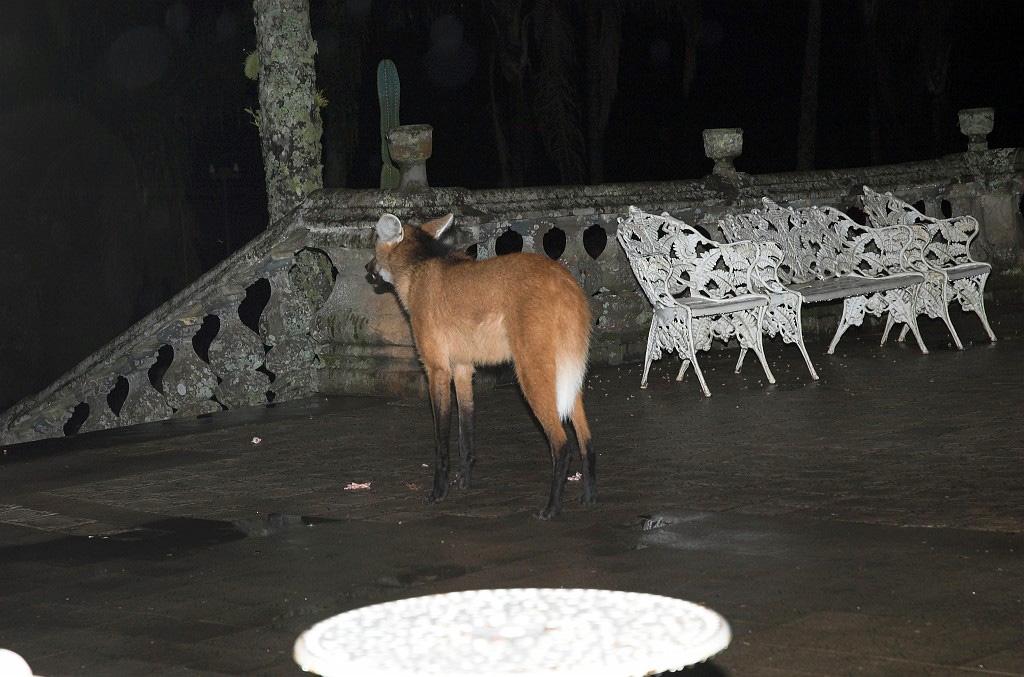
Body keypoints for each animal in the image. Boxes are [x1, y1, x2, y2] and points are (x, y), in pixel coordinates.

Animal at [366, 210, 593, 518]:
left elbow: (441, 439)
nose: (367, 267)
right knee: (587, 440)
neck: (417, 271)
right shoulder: (462, 367)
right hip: (568, 372)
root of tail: (566, 281)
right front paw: (463, 482)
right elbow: (466, 431)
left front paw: (438, 493)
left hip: (531, 374)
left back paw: (551, 509)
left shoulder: (437, 368)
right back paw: (590, 497)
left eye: (375, 247)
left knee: (562, 445)